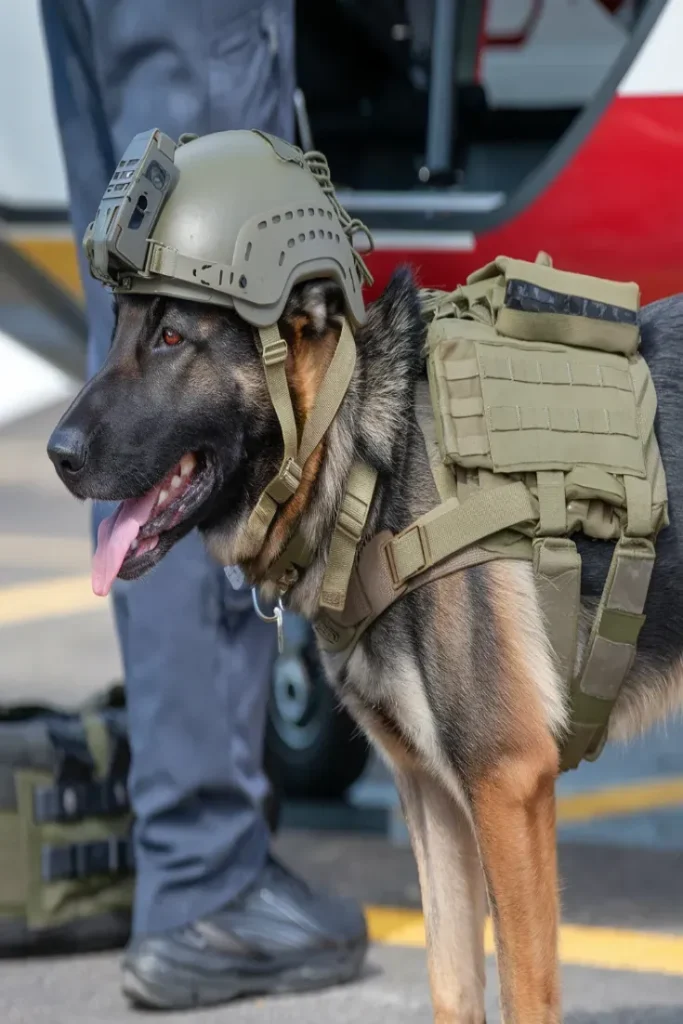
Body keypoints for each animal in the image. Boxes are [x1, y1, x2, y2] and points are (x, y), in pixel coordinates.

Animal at [48, 268, 683, 1019]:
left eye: (172, 336)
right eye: (117, 327)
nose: (57, 454)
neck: (364, 464)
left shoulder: (507, 783)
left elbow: (522, 994)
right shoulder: (435, 797)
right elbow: (451, 983)